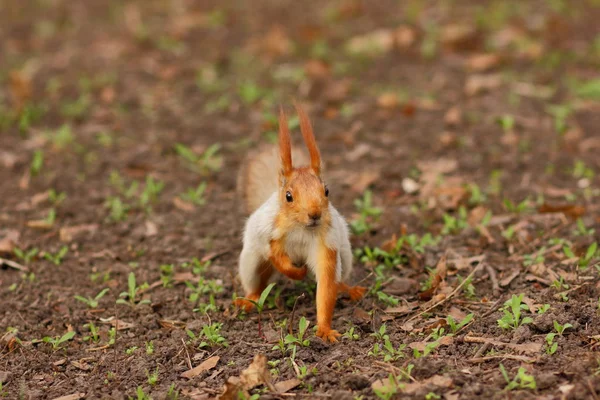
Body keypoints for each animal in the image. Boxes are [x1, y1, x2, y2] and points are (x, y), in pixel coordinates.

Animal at [233, 104, 366, 342]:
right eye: (288, 196)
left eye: (326, 190)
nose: (314, 214)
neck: (301, 228)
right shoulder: (272, 236)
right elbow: (279, 261)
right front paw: (299, 273)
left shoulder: (326, 244)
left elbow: (326, 285)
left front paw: (324, 329)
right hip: (250, 261)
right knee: (257, 283)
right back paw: (250, 299)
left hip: (346, 257)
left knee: (338, 279)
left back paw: (348, 288)